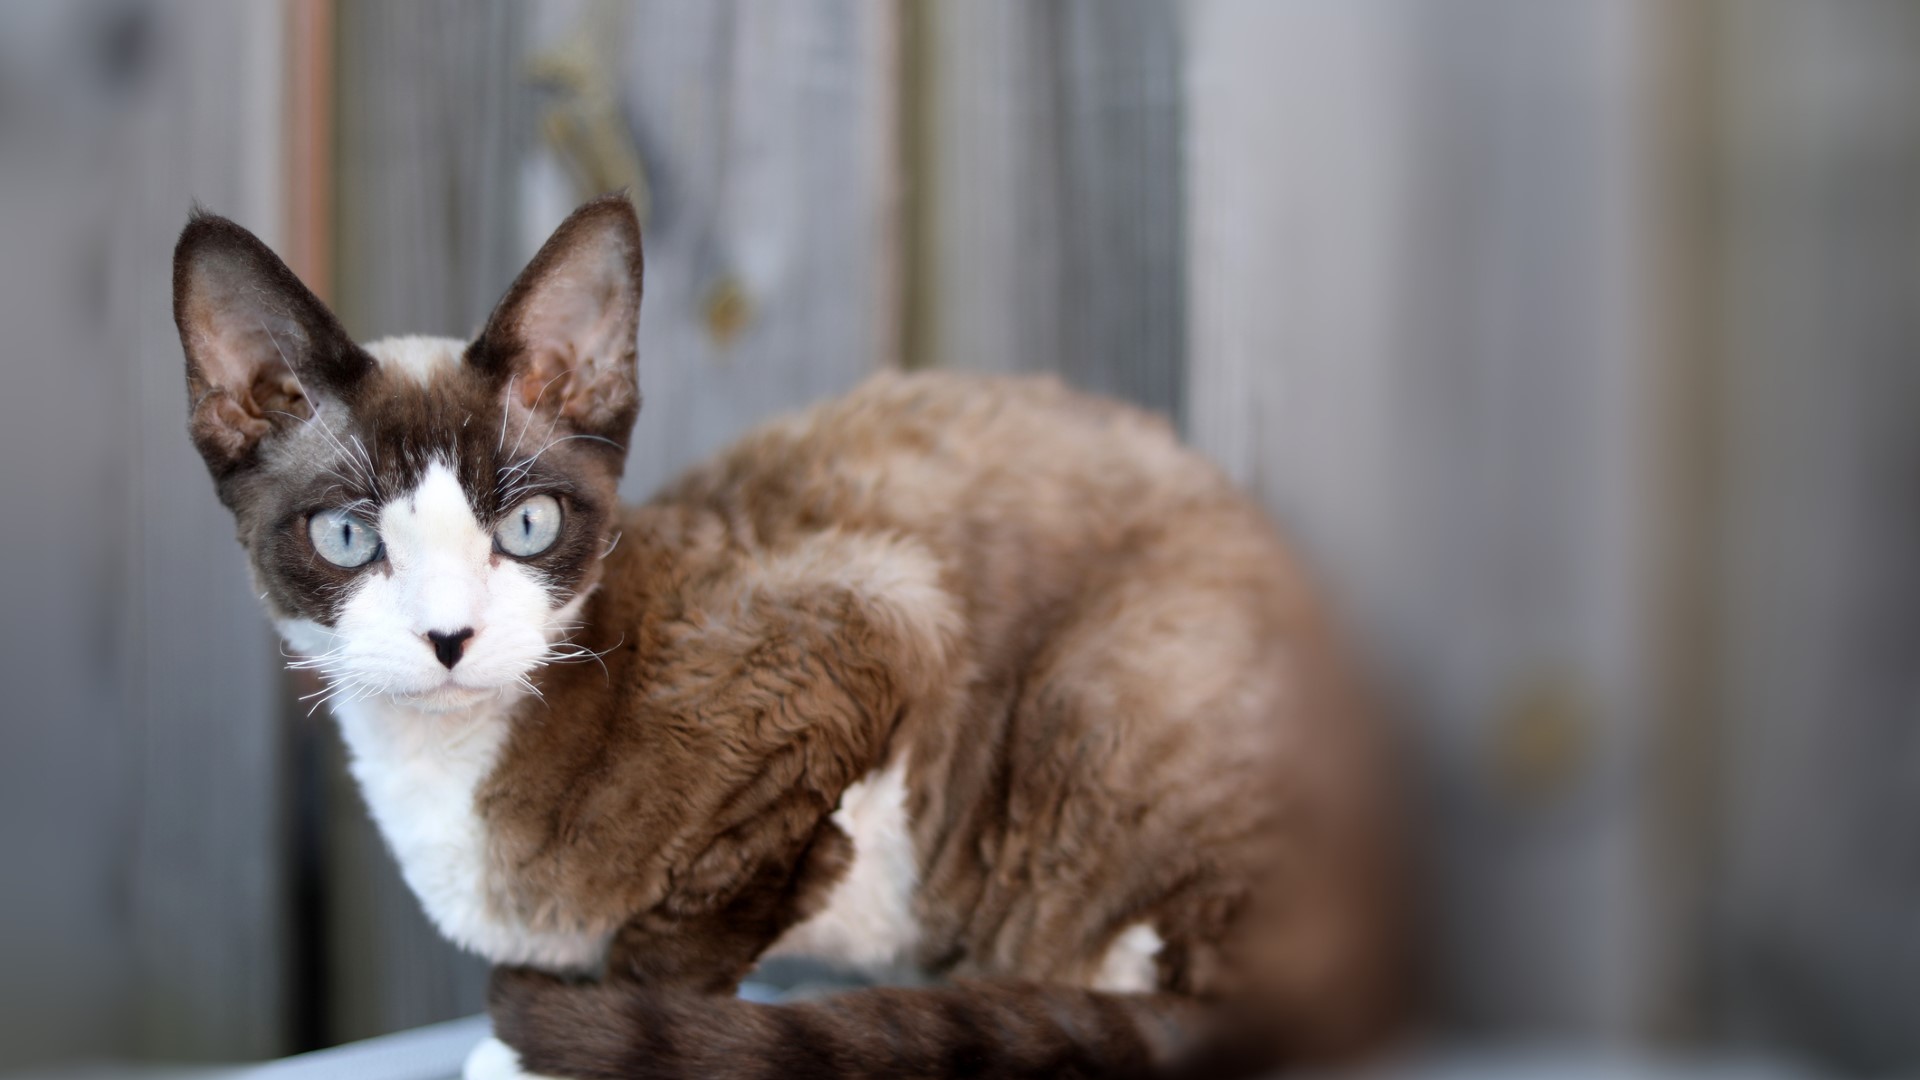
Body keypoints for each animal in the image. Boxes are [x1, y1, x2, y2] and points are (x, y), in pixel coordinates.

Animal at [176, 195, 1413, 1076]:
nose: (448, 636)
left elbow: (679, 951)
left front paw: (561, 1048)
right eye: (347, 537)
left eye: (526, 528)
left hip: (1097, 707)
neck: (444, 782)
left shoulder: (865, 635)